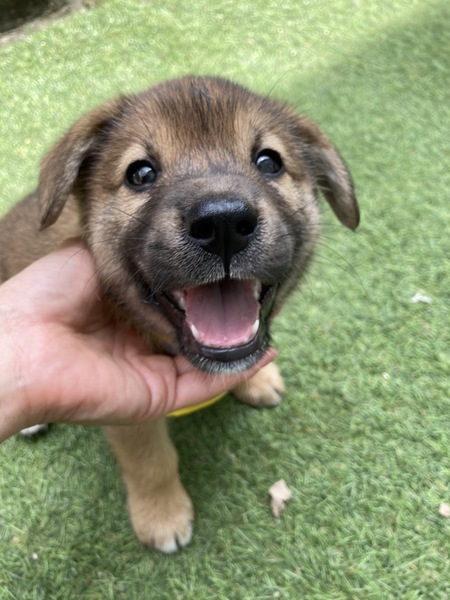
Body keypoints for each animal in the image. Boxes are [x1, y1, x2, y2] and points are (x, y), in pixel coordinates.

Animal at [0, 76, 359, 552]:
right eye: (141, 173)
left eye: (269, 162)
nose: (223, 223)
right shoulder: (127, 412)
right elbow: (151, 461)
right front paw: (163, 516)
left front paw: (258, 379)